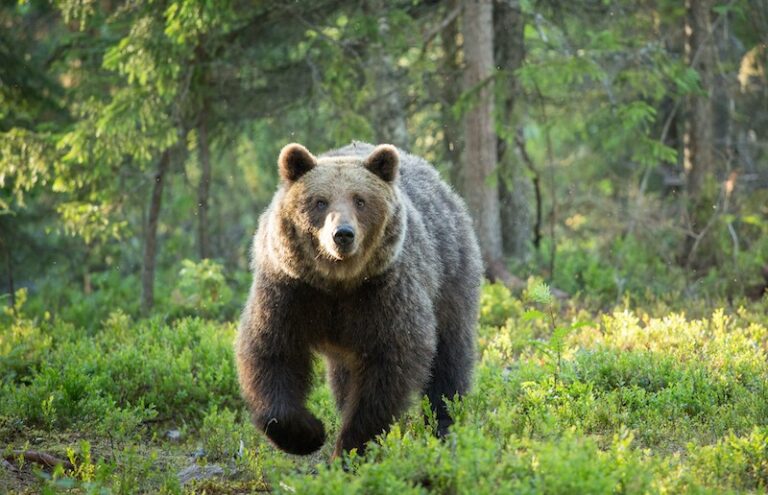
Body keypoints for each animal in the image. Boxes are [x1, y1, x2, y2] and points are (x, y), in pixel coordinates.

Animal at [235, 142, 482, 458]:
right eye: (320, 201)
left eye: (360, 200)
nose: (342, 234)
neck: (337, 283)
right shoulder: (290, 291)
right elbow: (271, 352)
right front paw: (308, 433)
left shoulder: (384, 293)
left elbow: (389, 368)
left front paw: (351, 447)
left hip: (449, 276)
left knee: (449, 357)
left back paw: (445, 424)